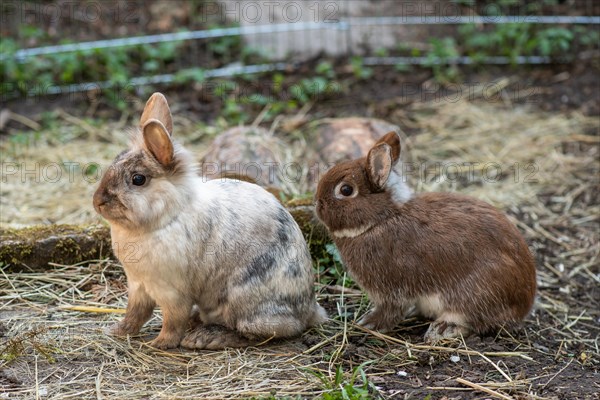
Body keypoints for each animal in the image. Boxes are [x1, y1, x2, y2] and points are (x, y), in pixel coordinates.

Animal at [93, 92, 326, 348]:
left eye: (138, 179)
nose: (98, 201)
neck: (168, 216)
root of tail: (309, 309)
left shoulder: (172, 291)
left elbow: (173, 321)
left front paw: (160, 343)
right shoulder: (138, 286)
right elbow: (135, 314)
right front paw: (116, 331)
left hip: (243, 301)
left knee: (255, 332)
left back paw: (204, 337)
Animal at [316, 132, 536, 344]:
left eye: (346, 190)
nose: (317, 205)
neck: (381, 219)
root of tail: (524, 303)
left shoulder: (392, 289)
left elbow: (391, 310)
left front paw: (369, 323)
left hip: (476, 294)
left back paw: (442, 330)